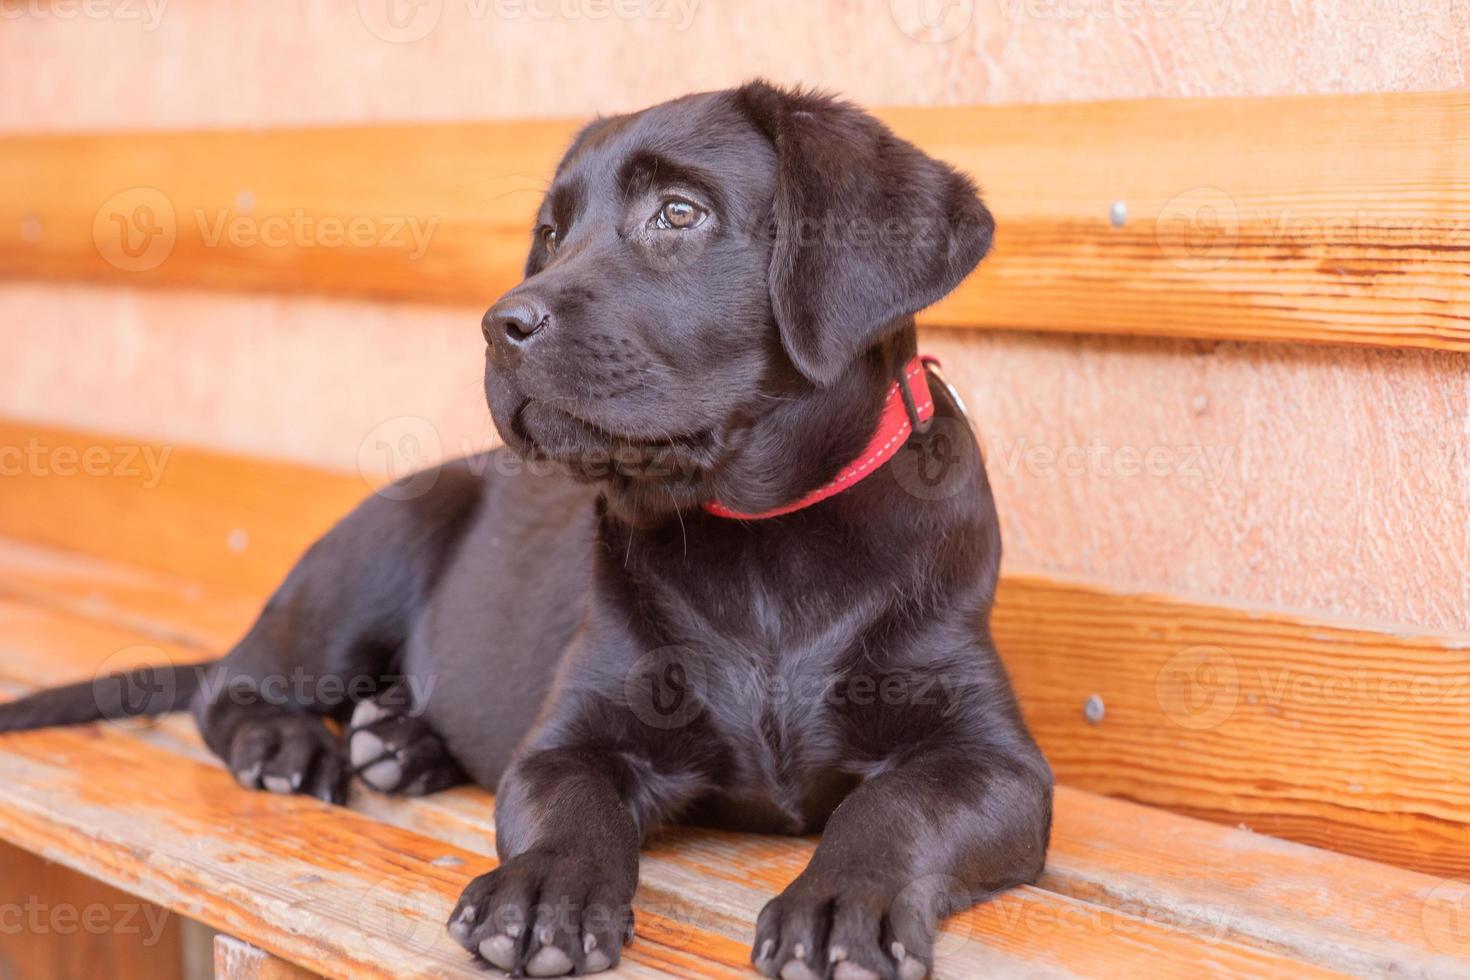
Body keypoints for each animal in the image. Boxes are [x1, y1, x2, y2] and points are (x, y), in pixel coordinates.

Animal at [2, 84, 1058, 980]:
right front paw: (543, 894)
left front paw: (844, 904)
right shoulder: (573, 736)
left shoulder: (995, 763)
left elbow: (895, 803)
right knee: (232, 681)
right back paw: (291, 745)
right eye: (549, 233)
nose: (495, 325)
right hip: (375, 548)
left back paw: (400, 742)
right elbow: (568, 806)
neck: (760, 538)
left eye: (680, 213)